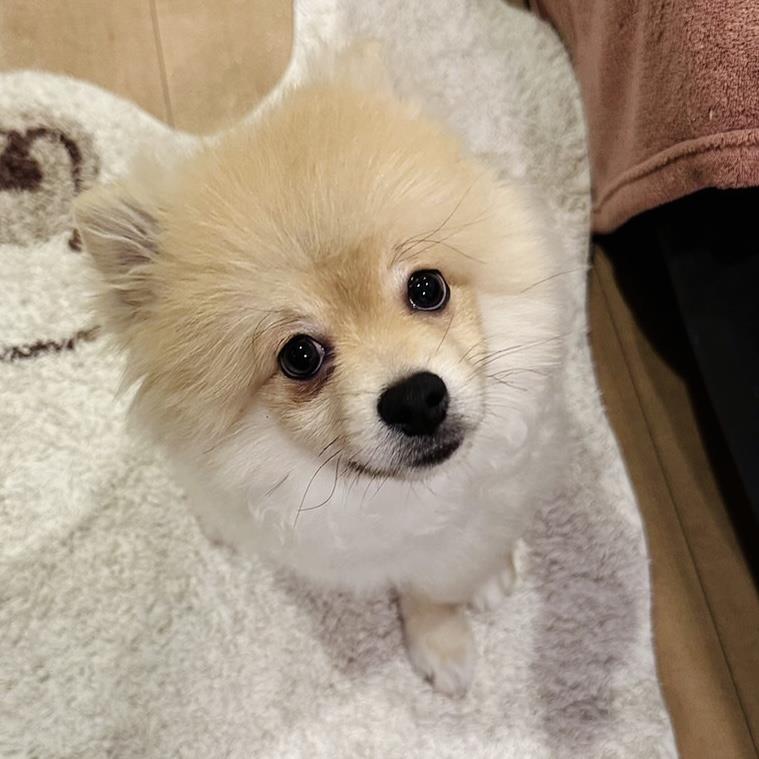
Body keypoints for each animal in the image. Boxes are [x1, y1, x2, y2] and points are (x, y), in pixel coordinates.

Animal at [74, 43, 566, 695]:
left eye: (427, 288)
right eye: (299, 356)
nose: (416, 397)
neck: (389, 497)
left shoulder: (470, 523)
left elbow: (440, 583)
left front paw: (445, 634)